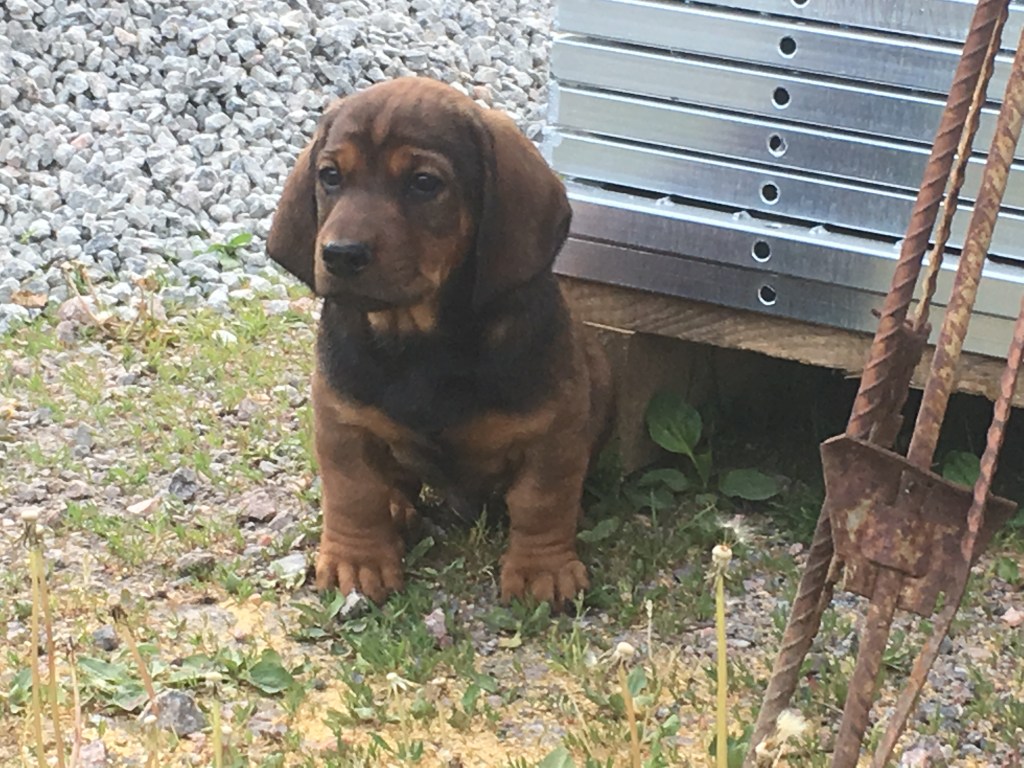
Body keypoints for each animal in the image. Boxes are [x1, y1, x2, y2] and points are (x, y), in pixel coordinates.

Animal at [266, 77, 612, 606]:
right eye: (330, 176)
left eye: (425, 183)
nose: (340, 254)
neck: (419, 341)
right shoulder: (341, 420)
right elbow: (354, 493)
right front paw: (357, 560)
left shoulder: (555, 429)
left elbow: (542, 500)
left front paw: (543, 567)